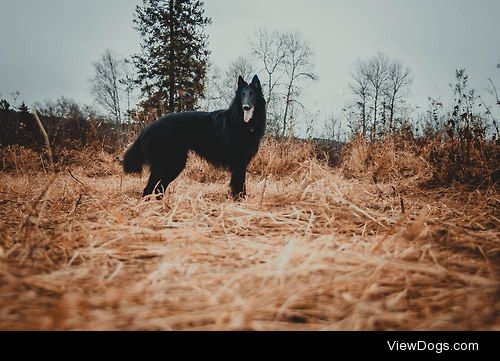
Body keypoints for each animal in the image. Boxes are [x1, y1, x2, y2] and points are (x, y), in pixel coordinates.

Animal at [122, 75, 266, 198]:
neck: (242, 122)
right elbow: (239, 187)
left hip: (173, 165)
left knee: (158, 189)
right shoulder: (238, 164)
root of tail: (149, 127)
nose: (246, 107)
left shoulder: (241, 163)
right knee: (149, 189)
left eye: (252, 94)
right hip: (169, 164)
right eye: (242, 95)